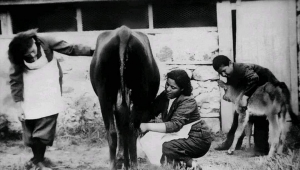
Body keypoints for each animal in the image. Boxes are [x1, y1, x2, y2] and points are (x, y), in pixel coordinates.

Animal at [89, 25, 161, 169]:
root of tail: (123, 32)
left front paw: (122, 158)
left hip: (105, 96)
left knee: (116, 131)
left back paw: (118, 164)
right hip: (134, 96)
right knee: (128, 130)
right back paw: (130, 164)